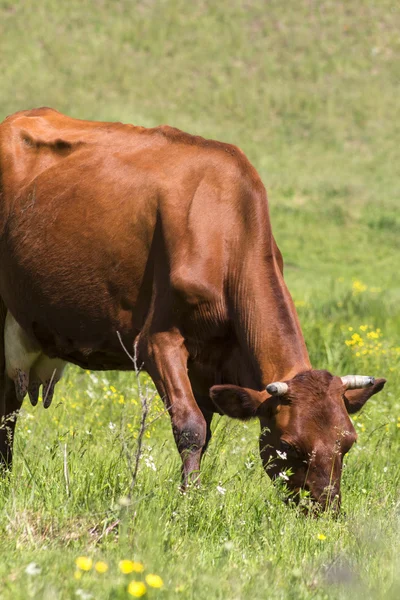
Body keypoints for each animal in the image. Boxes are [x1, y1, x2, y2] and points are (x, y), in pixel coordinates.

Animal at [0, 106, 386, 506]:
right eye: (290, 445)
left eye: (348, 443)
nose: (324, 509)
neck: (224, 231)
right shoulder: (157, 341)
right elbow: (190, 427)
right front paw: (189, 501)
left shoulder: (209, 364)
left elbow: (206, 433)